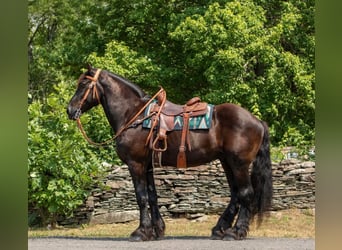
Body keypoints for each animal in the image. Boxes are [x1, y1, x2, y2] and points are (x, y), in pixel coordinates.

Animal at [67, 65, 272, 241]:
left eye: (83, 84)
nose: (69, 110)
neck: (133, 115)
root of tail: (256, 121)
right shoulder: (147, 165)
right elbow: (152, 196)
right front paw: (156, 230)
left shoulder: (135, 164)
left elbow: (141, 197)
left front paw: (141, 231)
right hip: (227, 162)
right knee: (236, 194)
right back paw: (220, 228)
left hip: (239, 164)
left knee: (246, 193)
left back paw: (236, 231)